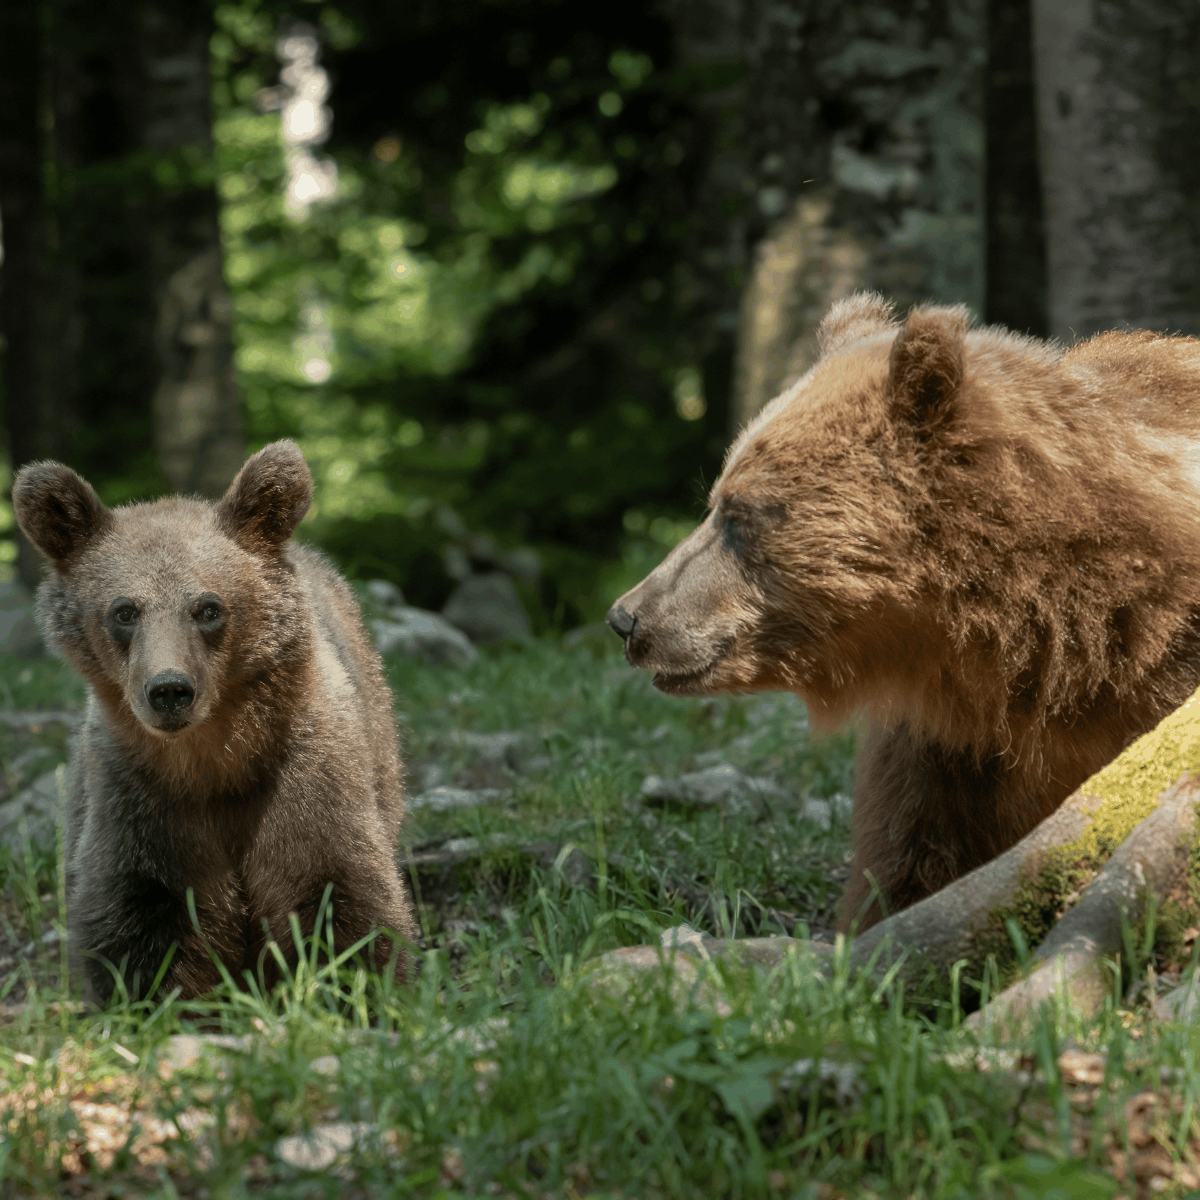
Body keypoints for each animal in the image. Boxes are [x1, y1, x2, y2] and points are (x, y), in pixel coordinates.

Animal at [13, 440, 417, 1002]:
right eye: (124, 611)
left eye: (207, 607)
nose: (169, 690)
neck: (219, 762)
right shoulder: (142, 803)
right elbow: (139, 920)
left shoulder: (305, 776)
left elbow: (340, 895)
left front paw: (352, 990)